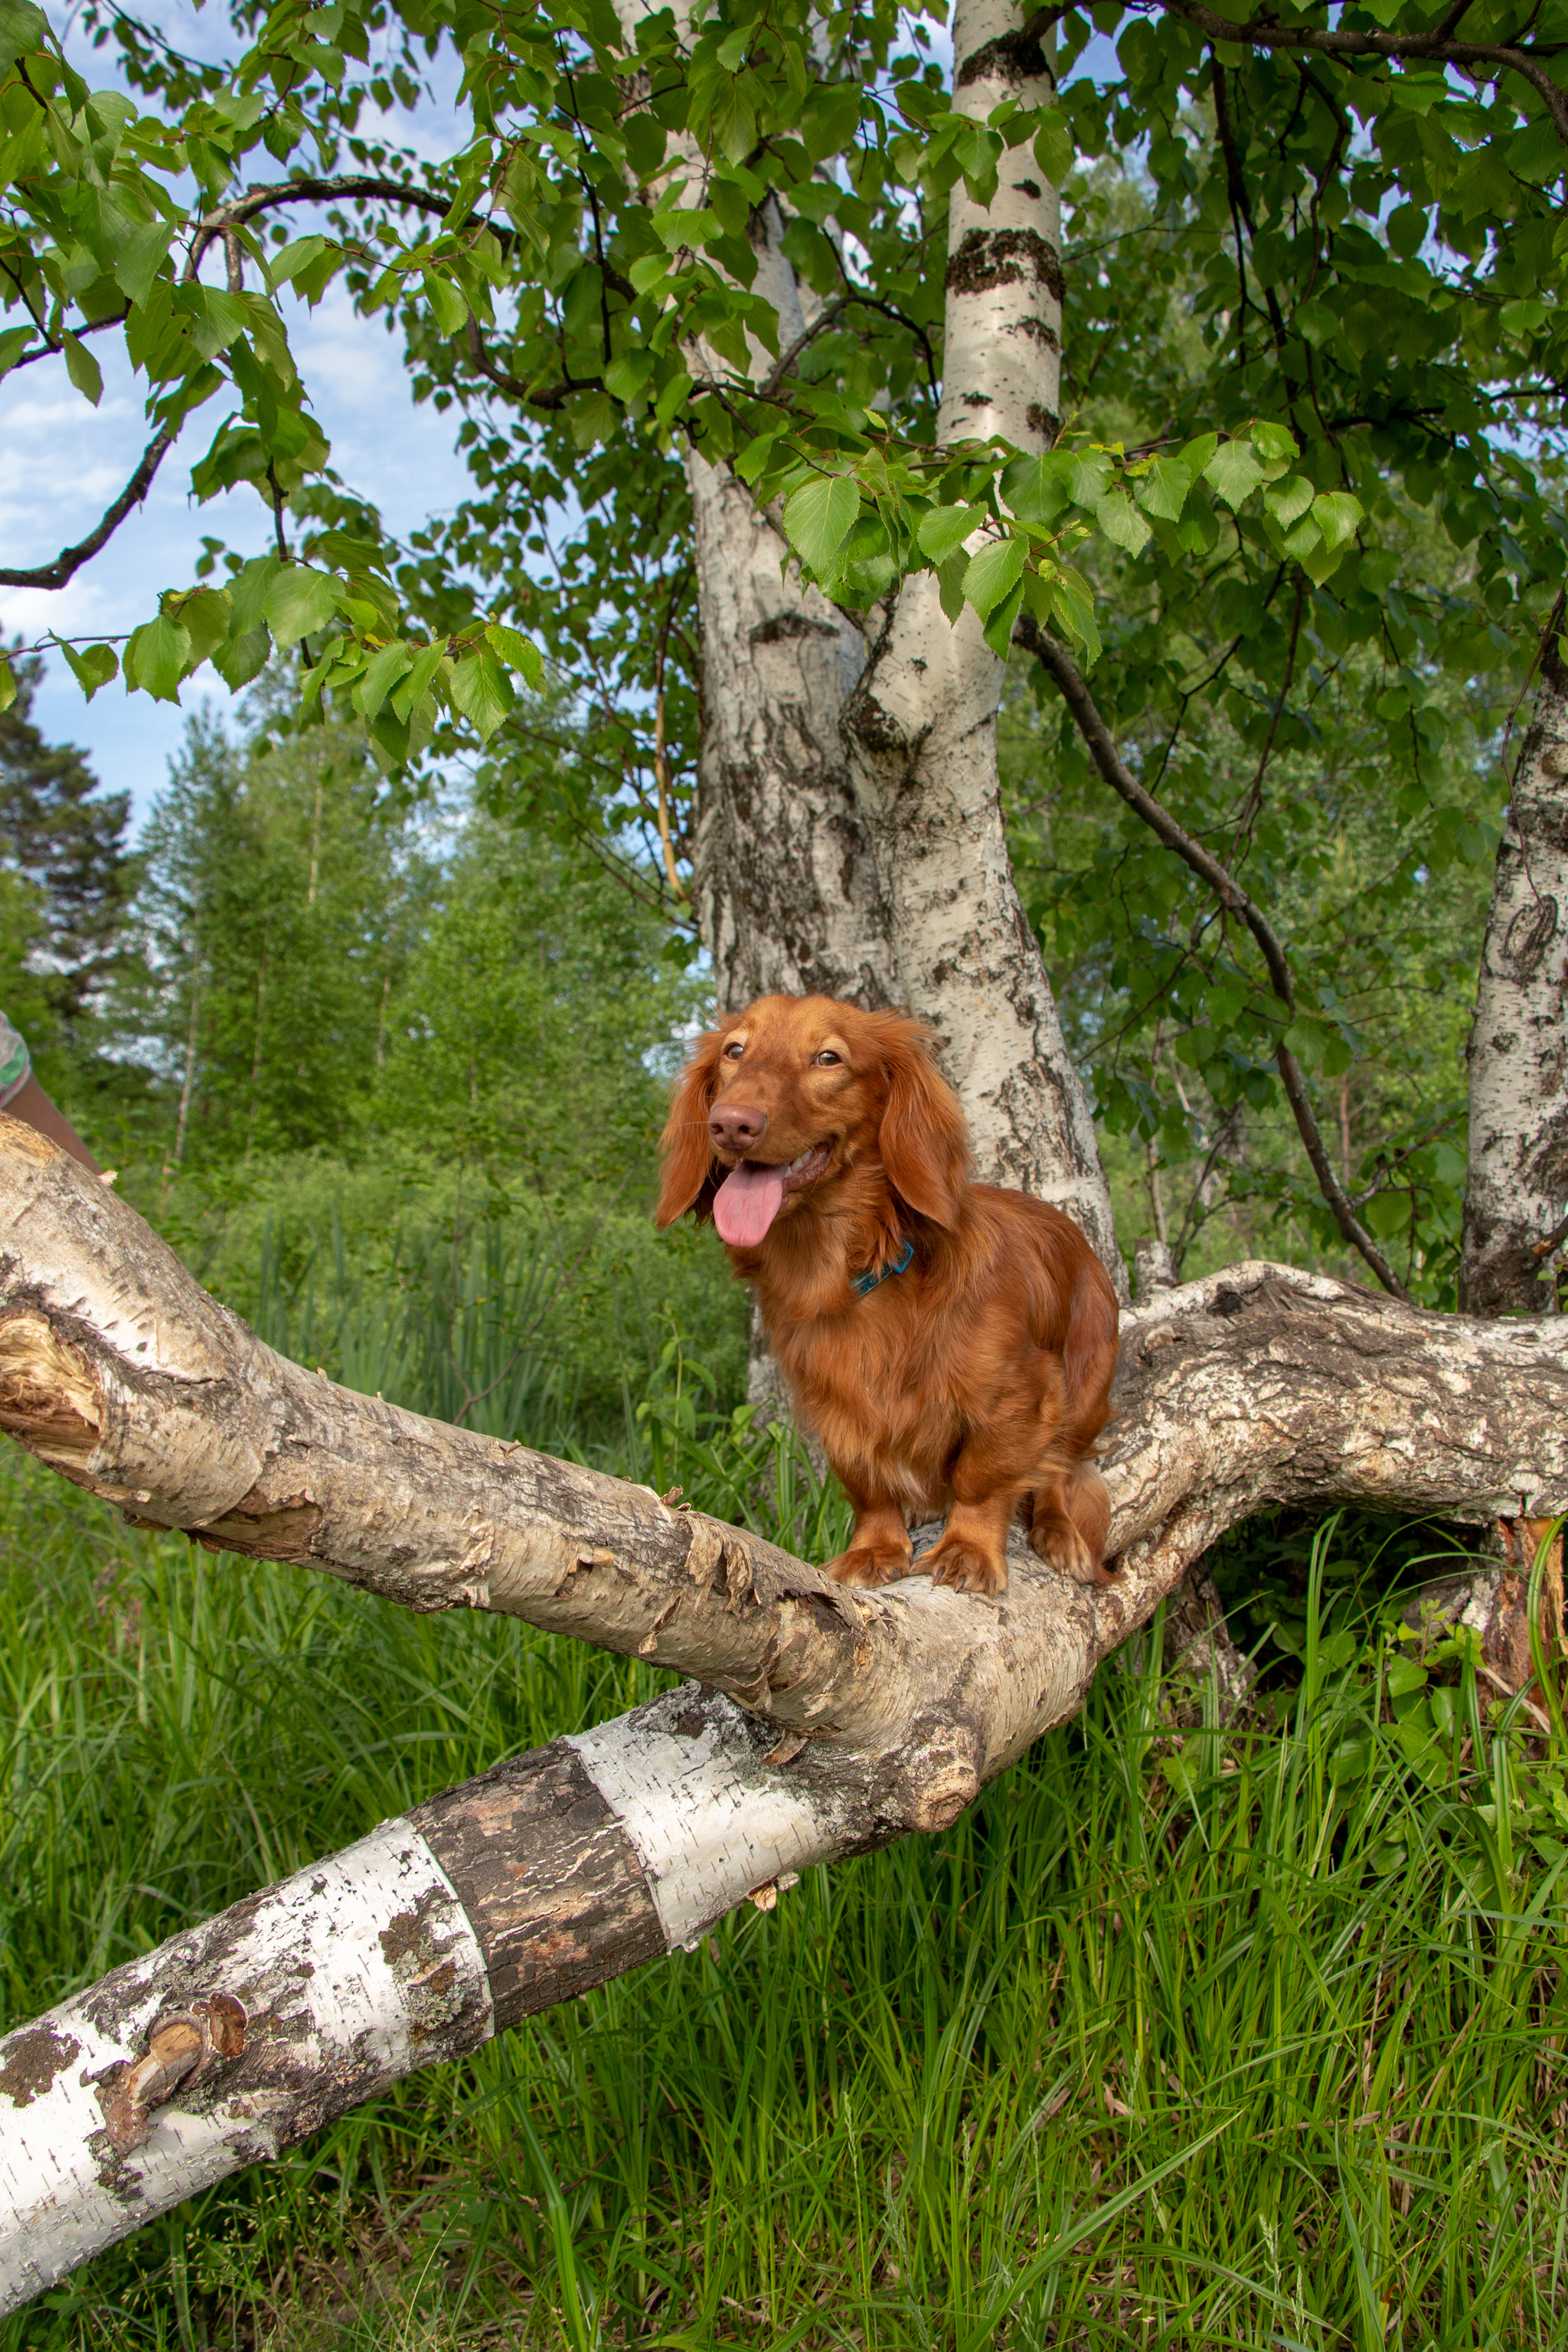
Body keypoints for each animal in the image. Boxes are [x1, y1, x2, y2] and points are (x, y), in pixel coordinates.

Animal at [658, 992, 1123, 1599]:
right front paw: (875, 1550)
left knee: (1060, 1468)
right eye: (735, 1051)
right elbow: (870, 1488)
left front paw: (969, 1548)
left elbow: (982, 1478)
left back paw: (1058, 1529)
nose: (731, 1123)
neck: (857, 1274)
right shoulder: (839, 1415)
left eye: (828, 1057)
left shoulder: (1025, 1396)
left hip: (1088, 1387)